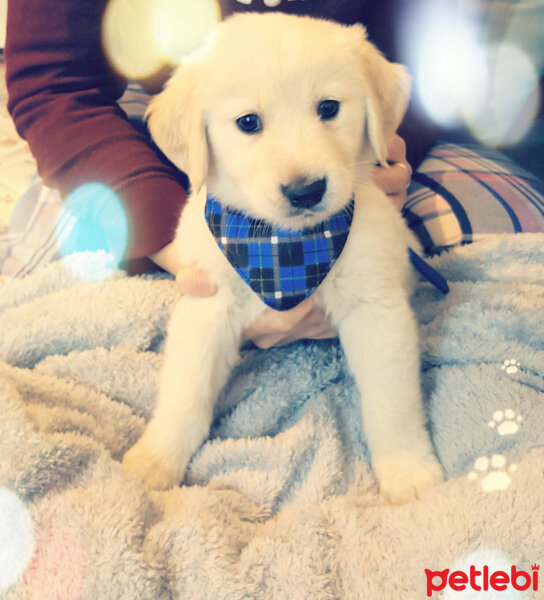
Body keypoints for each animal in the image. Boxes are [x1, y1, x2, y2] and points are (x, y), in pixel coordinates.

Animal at [122, 11, 442, 504]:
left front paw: (408, 471)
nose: (305, 191)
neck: (283, 249)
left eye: (328, 108)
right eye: (248, 122)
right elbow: (185, 393)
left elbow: (392, 401)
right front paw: (156, 459)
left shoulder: (377, 309)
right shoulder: (206, 307)